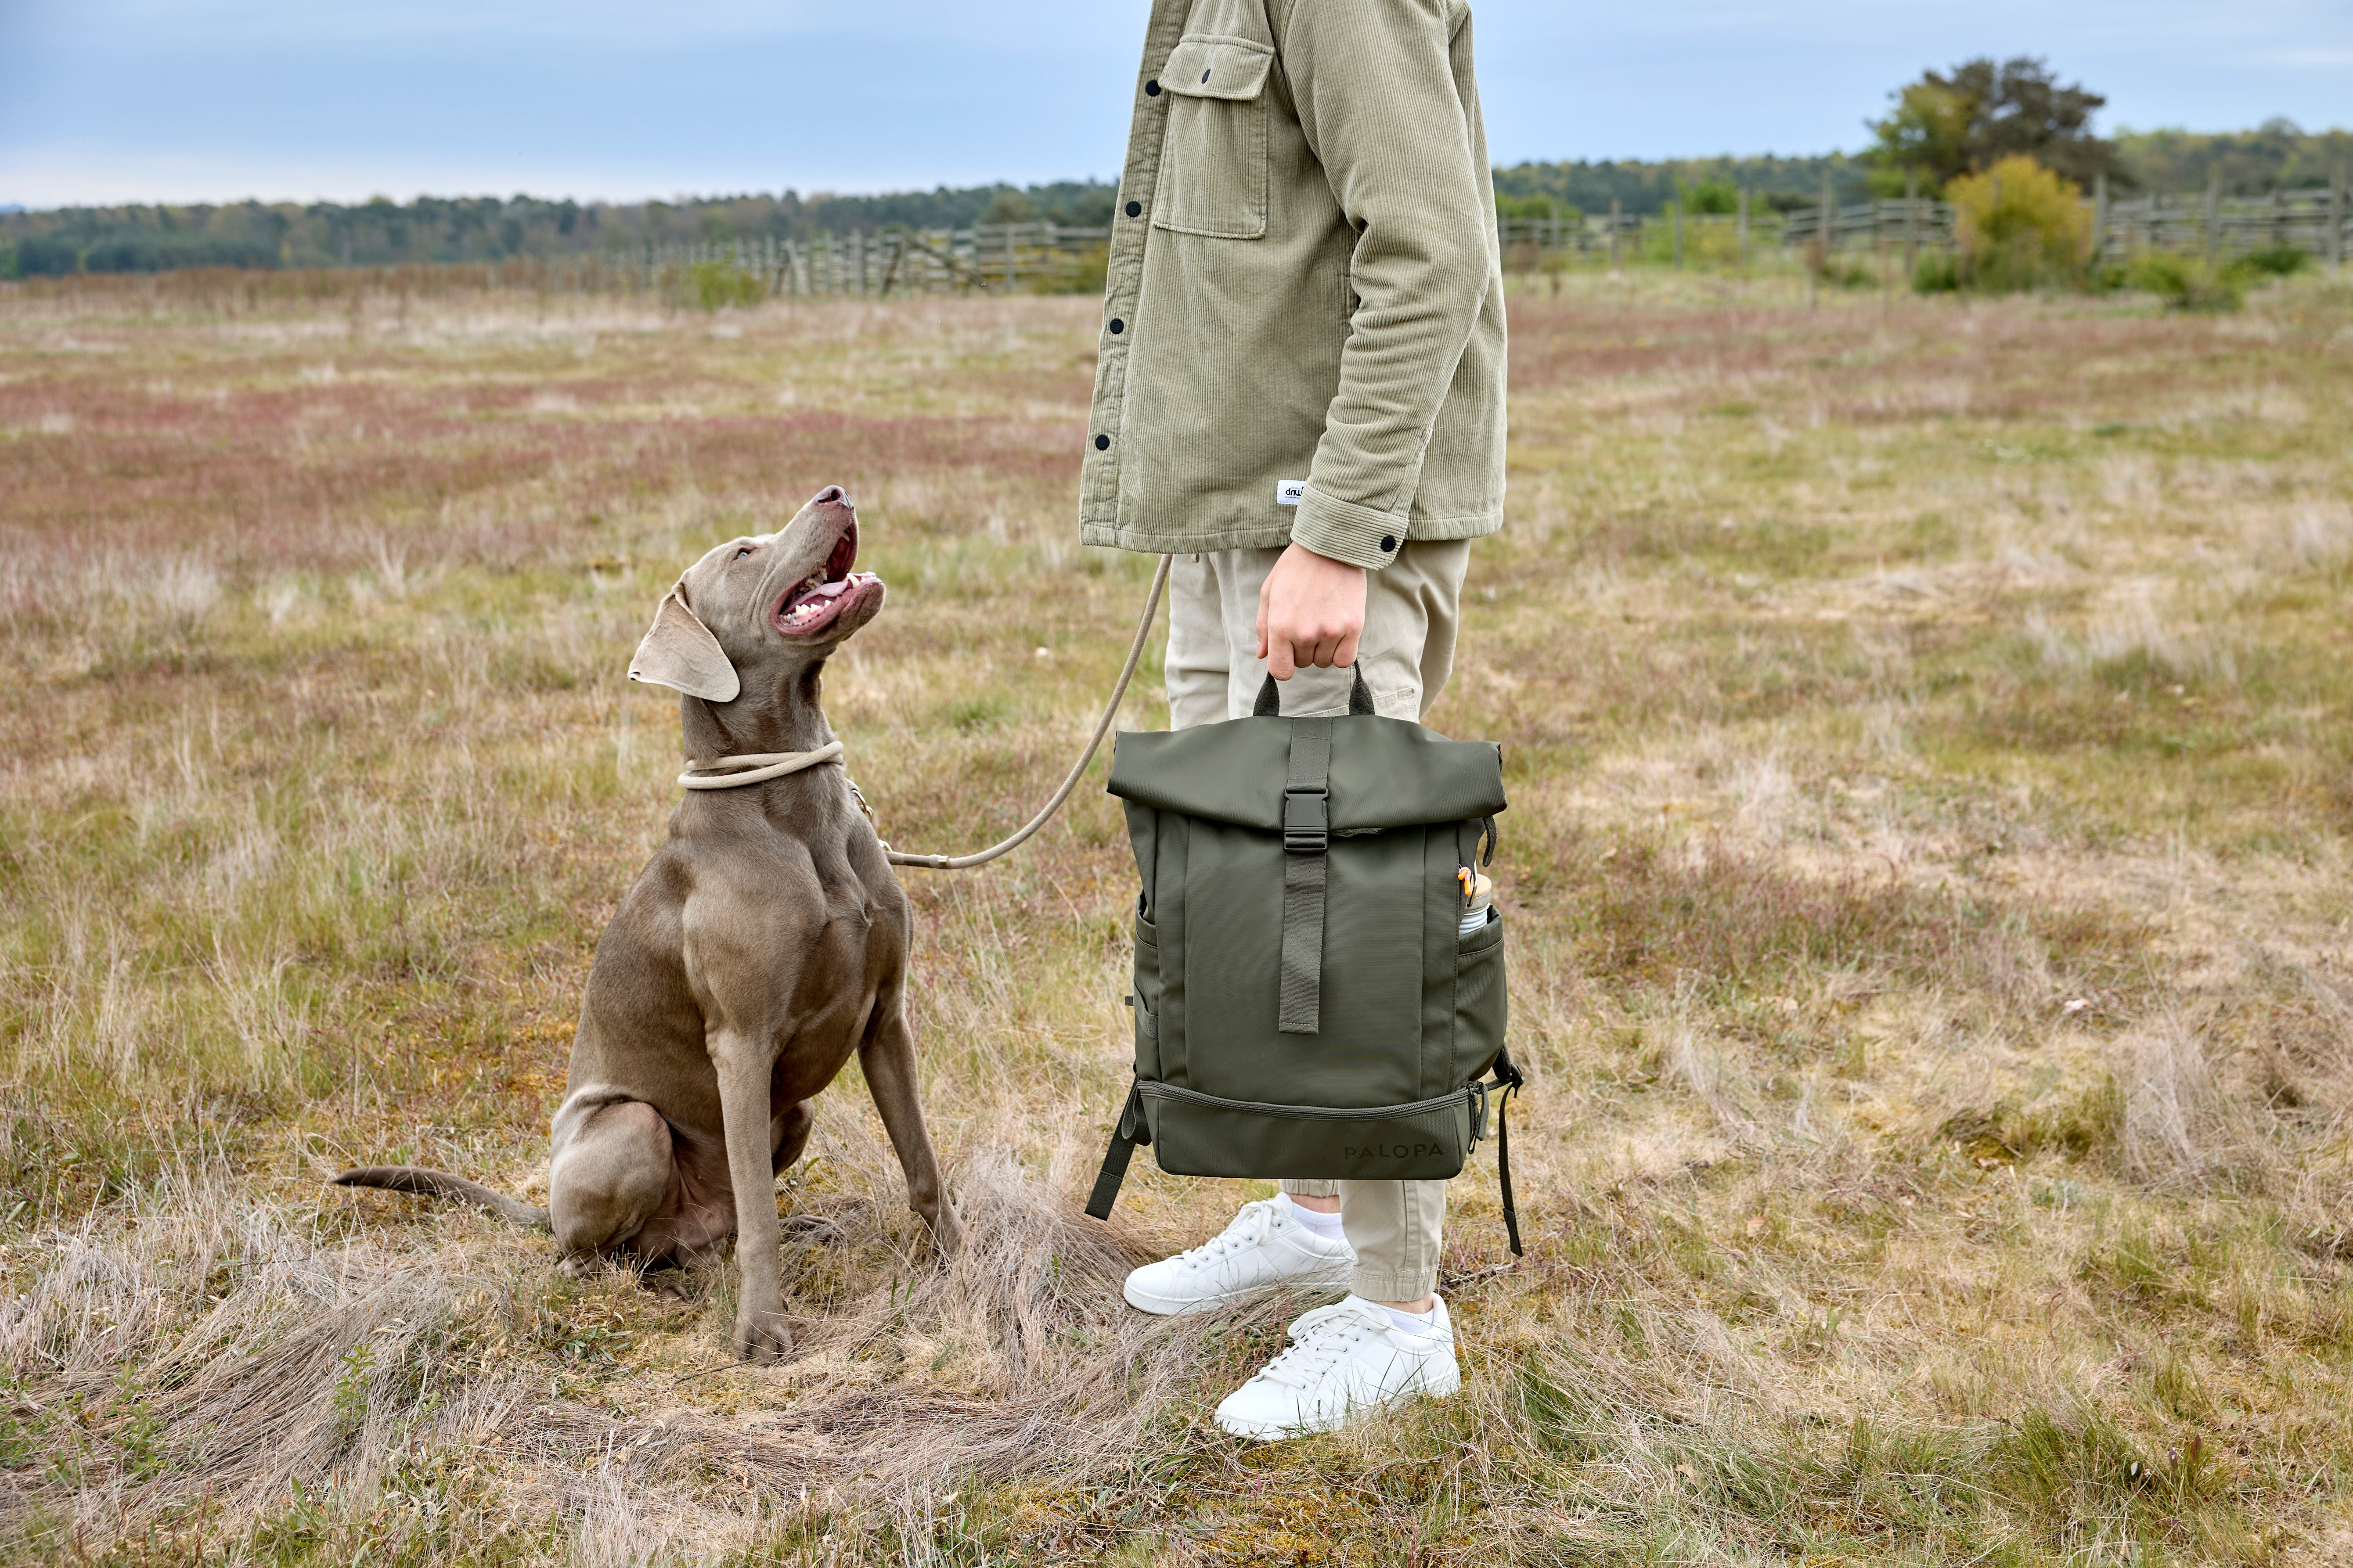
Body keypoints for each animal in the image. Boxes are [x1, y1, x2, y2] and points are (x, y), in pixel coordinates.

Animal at [336, 486, 960, 1363]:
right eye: (743, 552)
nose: (836, 491)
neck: (792, 803)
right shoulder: (742, 1043)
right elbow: (759, 1215)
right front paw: (762, 1331)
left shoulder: (885, 1019)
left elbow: (921, 1164)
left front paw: (957, 1264)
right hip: (628, 1127)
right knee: (607, 1251)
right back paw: (637, 1280)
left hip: (791, 1112)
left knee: (718, 1230)